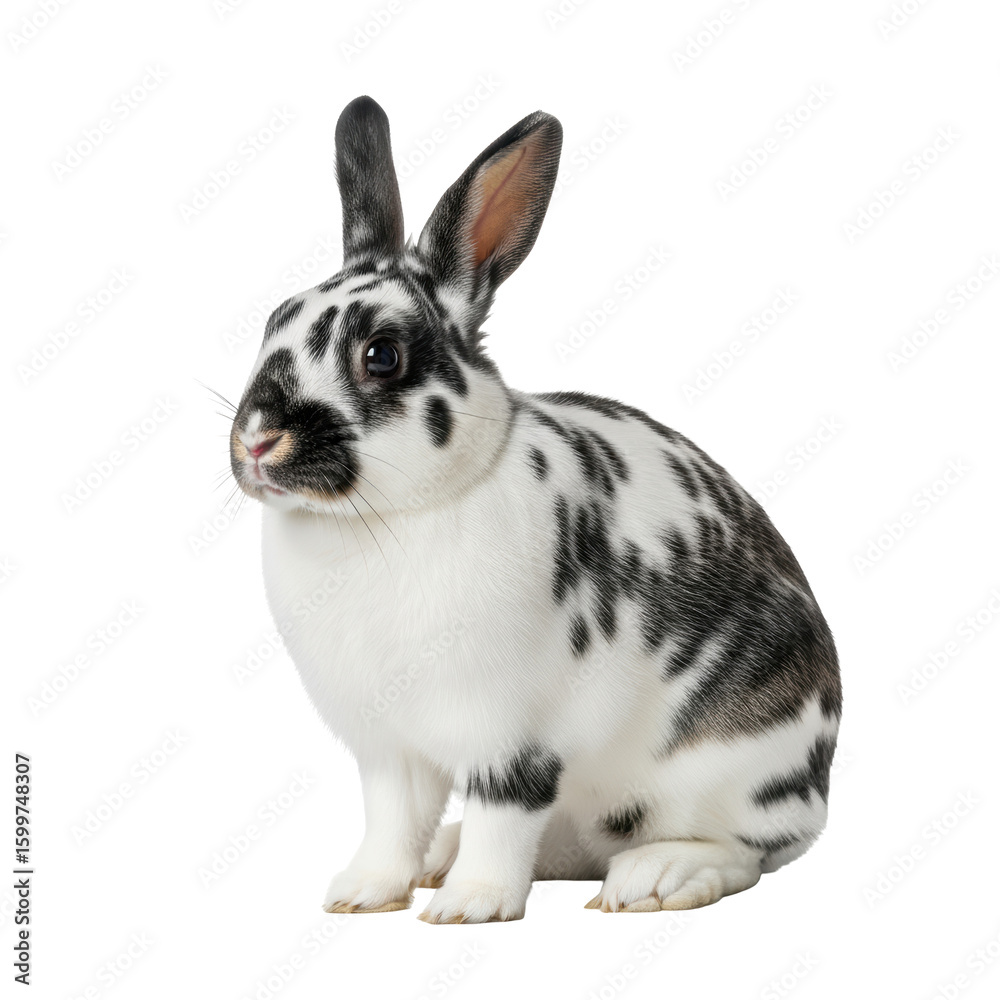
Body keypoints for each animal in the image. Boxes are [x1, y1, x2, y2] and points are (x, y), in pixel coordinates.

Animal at [228, 95, 842, 923]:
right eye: (274, 321)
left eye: (381, 356)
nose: (258, 440)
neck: (379, 521)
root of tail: (819, 777)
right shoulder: (390, 750)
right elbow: (392, 823)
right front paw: (363, 893)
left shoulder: (509, 736)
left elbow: (503, 814)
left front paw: (469, 907)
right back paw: (446, 858)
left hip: (727, 771)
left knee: (746, 850)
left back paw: (654, 879)